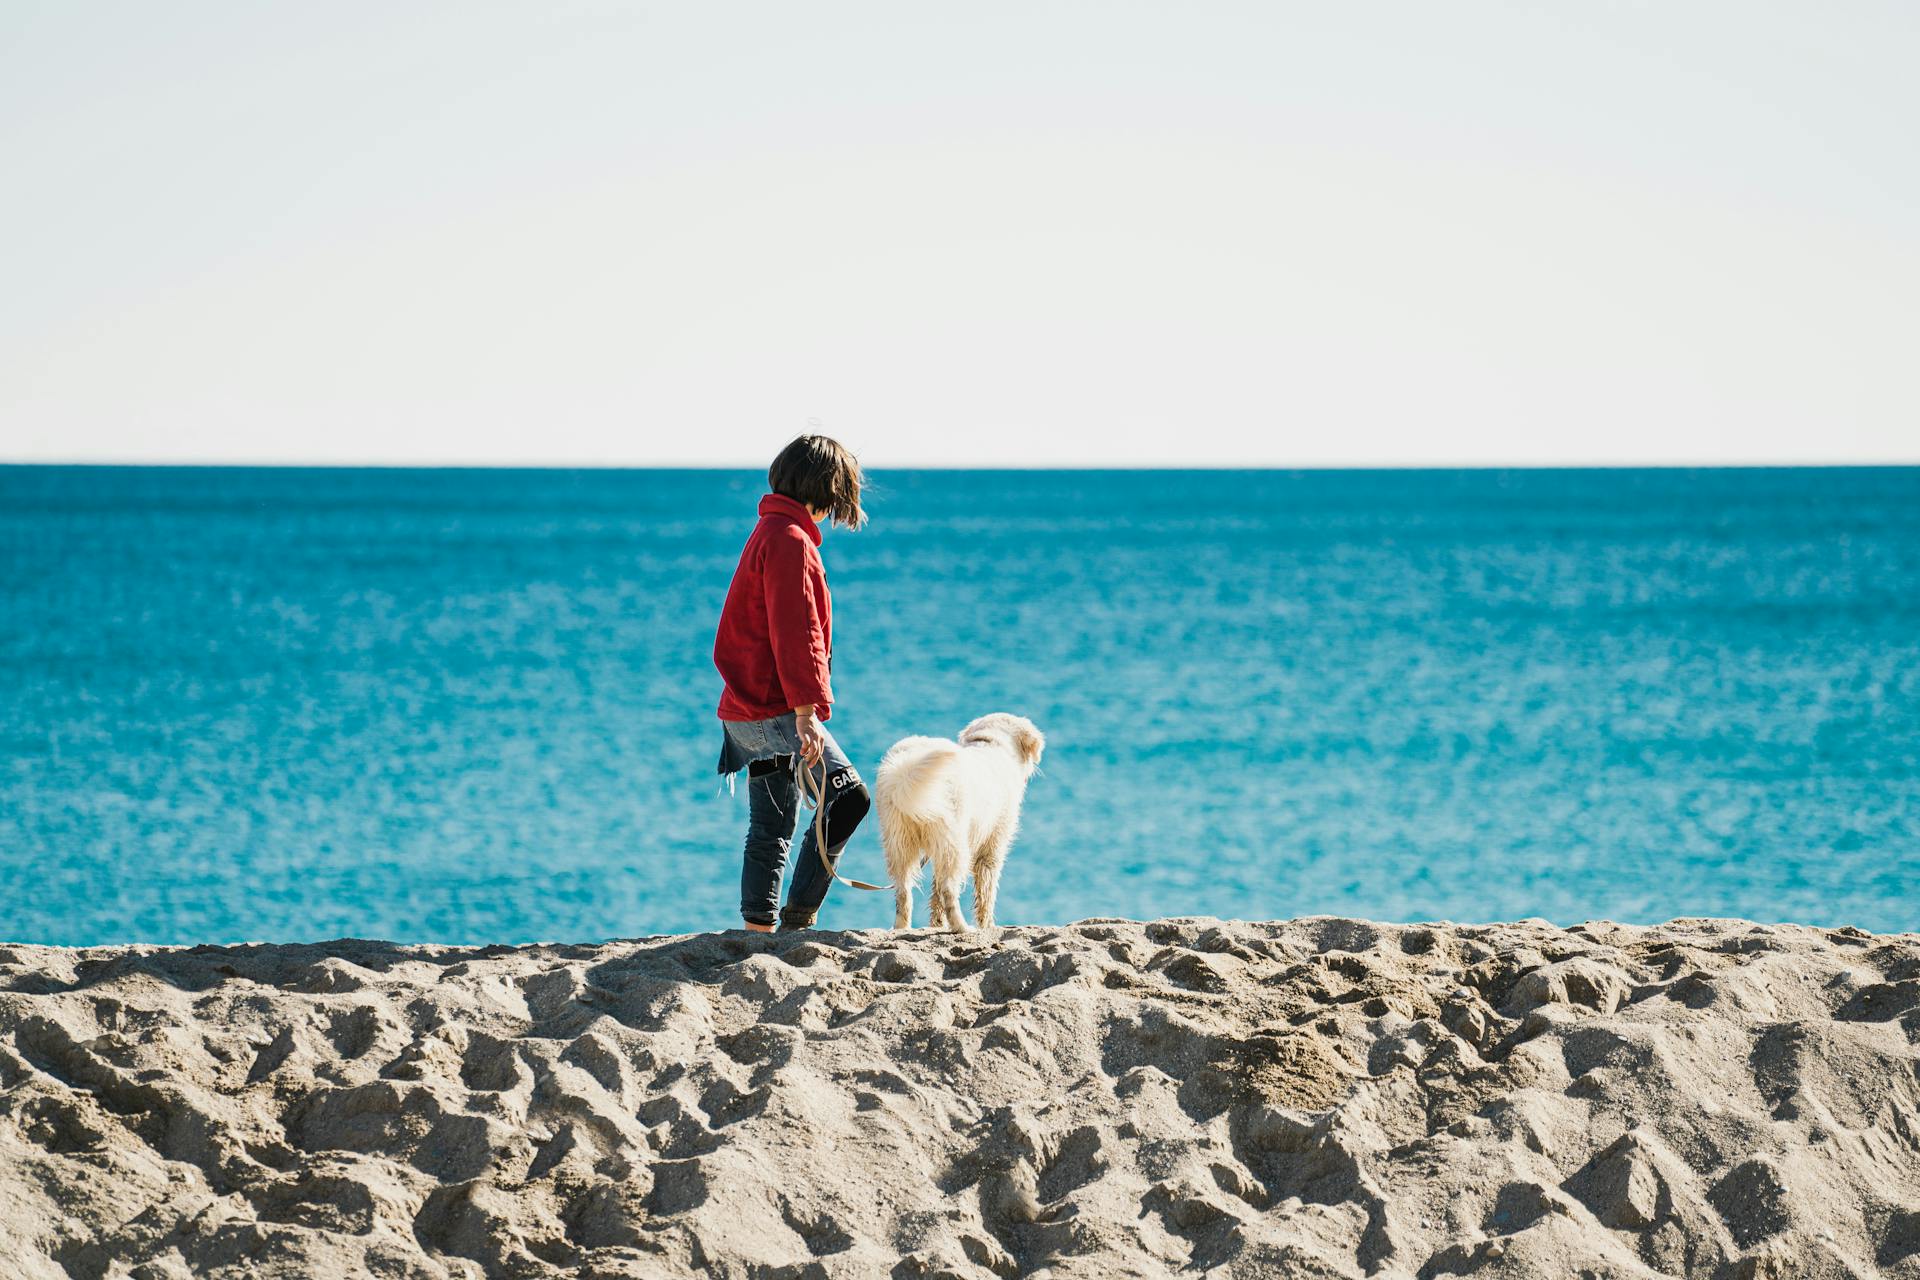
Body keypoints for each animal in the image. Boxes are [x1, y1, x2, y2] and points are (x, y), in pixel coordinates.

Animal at [875, 710, 1044, 932]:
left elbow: (935, 893)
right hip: (953, 842)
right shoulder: (993, 845)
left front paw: (936, 925)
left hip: (899, 840)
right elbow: (986, 891)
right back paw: (961, 927)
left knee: (903, 890)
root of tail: (904, 771)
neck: (992, 743)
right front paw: (987, 925)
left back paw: (901, 927)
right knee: (948, 889)